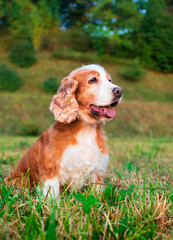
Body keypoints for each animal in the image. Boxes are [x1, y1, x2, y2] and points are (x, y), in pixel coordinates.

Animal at [5, 63, 123, 197]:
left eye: (110, 80)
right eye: (92, 79)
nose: (119, 91)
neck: (86, 129)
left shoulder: (97, 172)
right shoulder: (51, 171)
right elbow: (51, 197)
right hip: (19, 179)